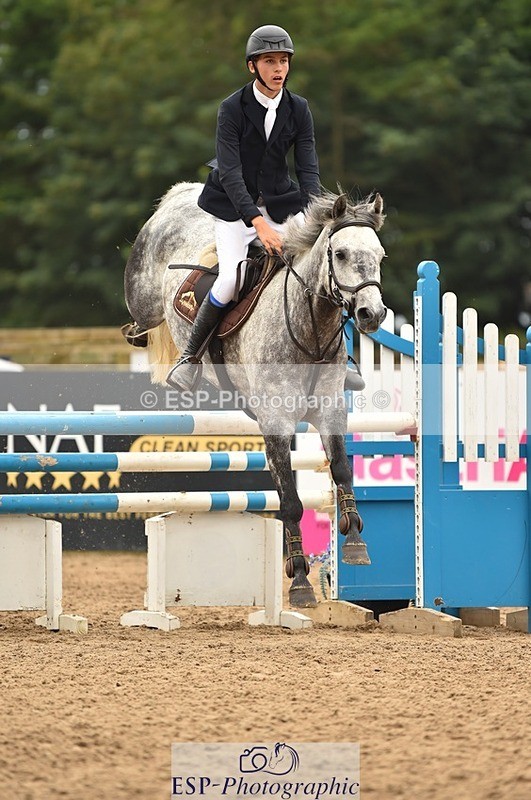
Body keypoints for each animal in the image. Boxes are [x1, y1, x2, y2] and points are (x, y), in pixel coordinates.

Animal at [124, 182, 387, 608]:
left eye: (380, 256)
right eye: (341, 254)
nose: (372, 315)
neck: (310, 327)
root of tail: (182, 194)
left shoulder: (331, 413)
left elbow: (342, 472)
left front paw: (354, 541)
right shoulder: (276, 424)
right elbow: (291, 502)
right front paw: (300, 581)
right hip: (145, 300)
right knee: (141, 323)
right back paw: (160, 350)